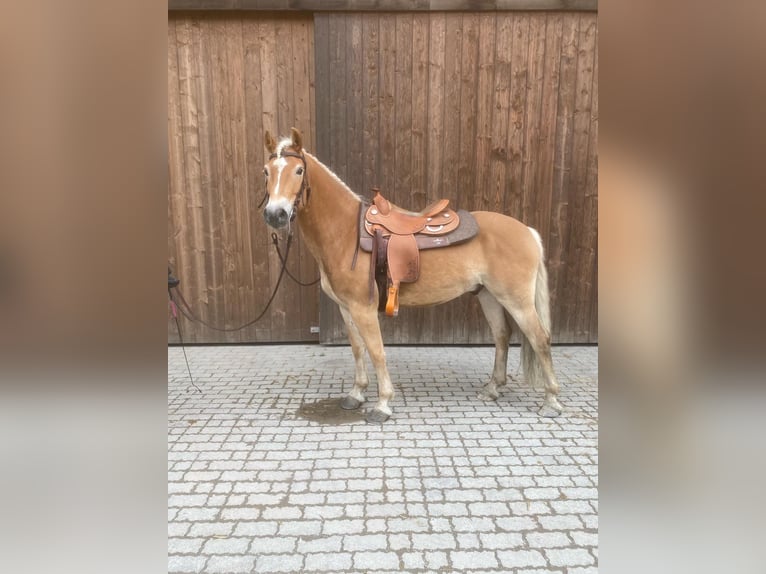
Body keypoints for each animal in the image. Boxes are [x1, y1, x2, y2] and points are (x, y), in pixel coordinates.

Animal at [262, 132, 564, 428]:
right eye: (266, 171)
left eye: (299, 170)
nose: (275, 214)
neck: (346, 233)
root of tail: (527, 231)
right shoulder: (346, 308)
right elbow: (358, 349)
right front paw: (356, 394)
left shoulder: (363, 309)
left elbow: (376, 351)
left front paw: (382, 404)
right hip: (488, 295)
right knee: (502, 336)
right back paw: (492, 389)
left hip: (517, 300)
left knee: (540, 339)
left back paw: (551, 401)